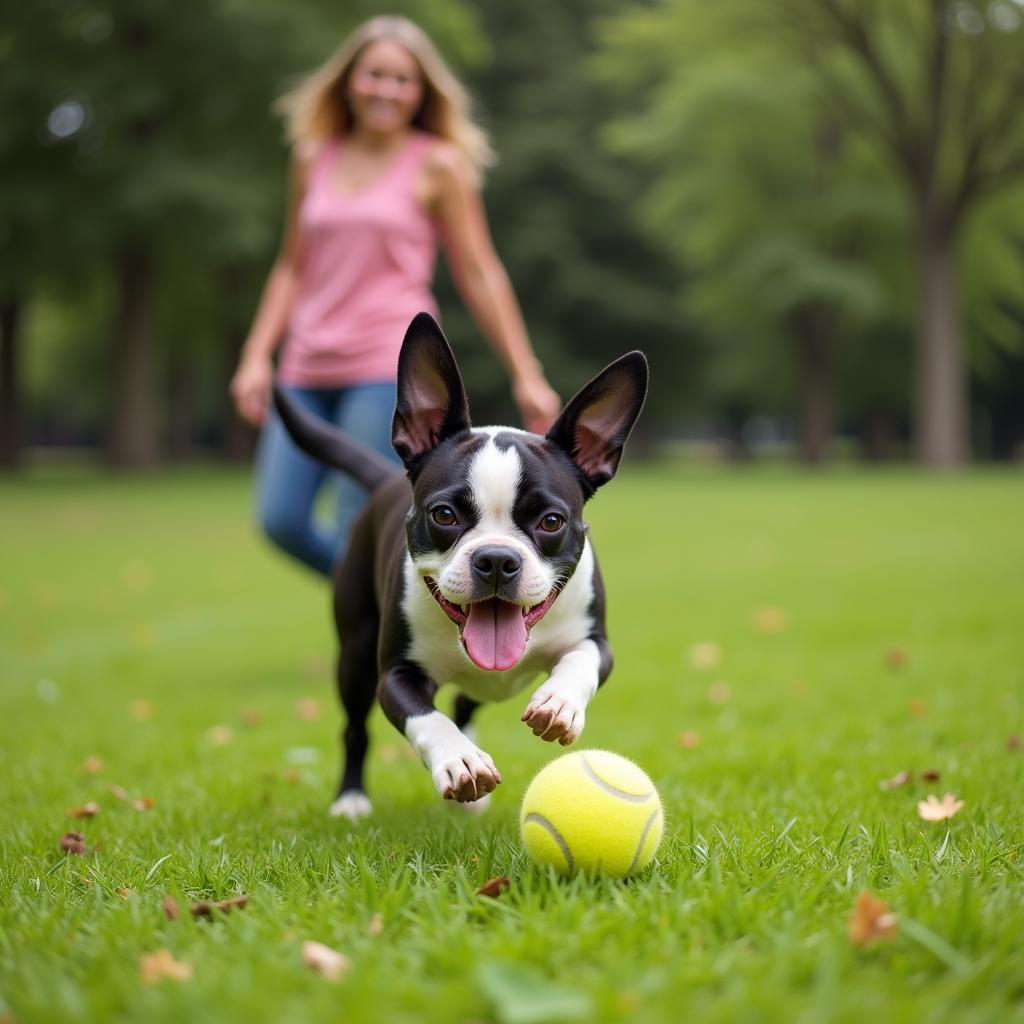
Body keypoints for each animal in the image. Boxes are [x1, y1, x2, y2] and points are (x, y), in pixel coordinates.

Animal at [268, 311, 643, 815]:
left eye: (551, 521)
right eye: (444, 515)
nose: (497, 559)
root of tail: (384, 478)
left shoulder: (596, 640)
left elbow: (580, 661)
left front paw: (560, 702)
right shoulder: (395, 675)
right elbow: (427, 719)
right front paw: (459, 760)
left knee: (466, 702)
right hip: (355, 654)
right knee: (356, 728)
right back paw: (351, 799)